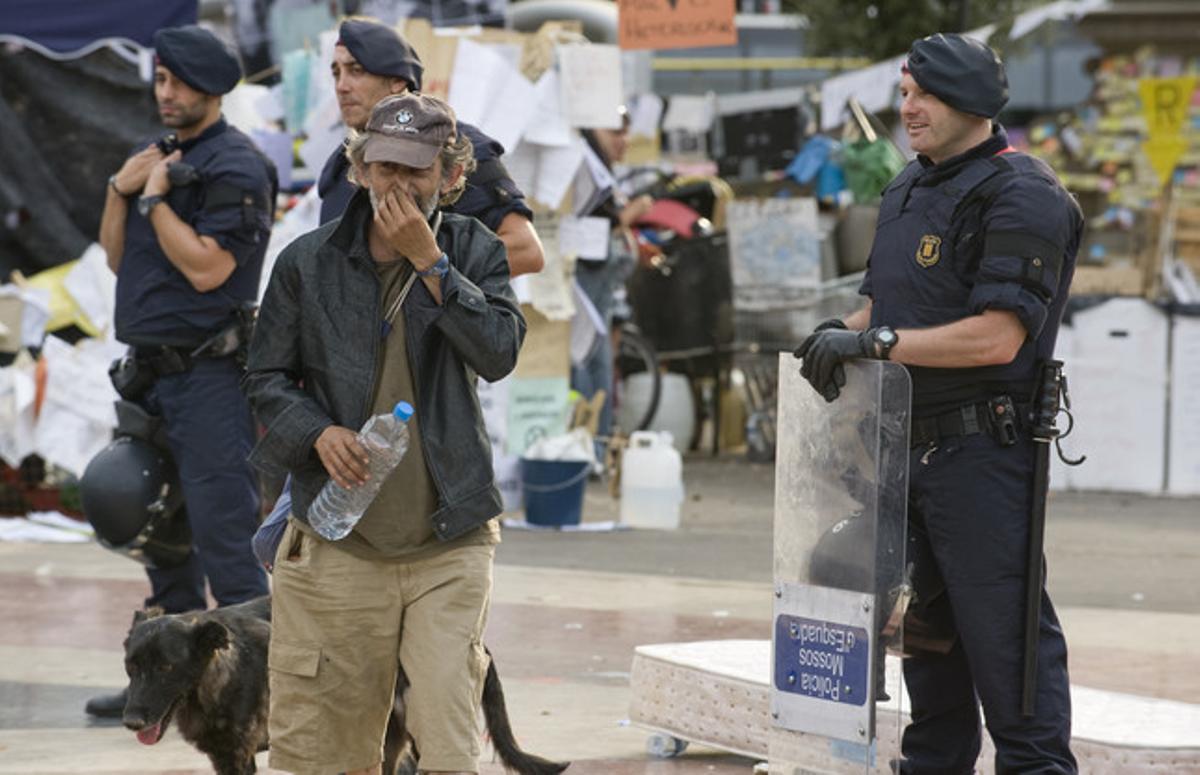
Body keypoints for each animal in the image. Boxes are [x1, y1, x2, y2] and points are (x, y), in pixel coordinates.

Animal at [119, 602, 564, 775]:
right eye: (131, 667)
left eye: (166, 667)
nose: (130, 721)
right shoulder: (224, 758)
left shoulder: (239, 756)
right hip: (387, 740)